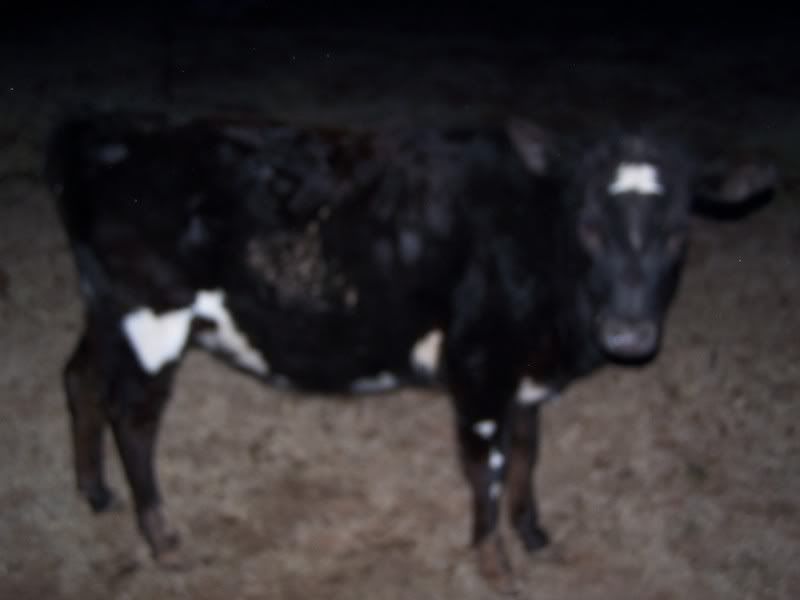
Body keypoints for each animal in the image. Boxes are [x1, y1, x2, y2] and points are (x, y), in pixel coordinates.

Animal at [46, 112, 776, 586]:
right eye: (589, 223)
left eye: (680, 231)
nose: (629, 332)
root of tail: (117, 138)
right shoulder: (482, 365)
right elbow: (489, 466)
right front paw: (495, 564)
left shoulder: (525, 373)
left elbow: (529, 452)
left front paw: (533, 533)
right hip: (153, 319)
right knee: (134, 419)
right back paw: (163, 540)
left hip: (107, 309)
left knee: (81, 378)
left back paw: (95, 490)